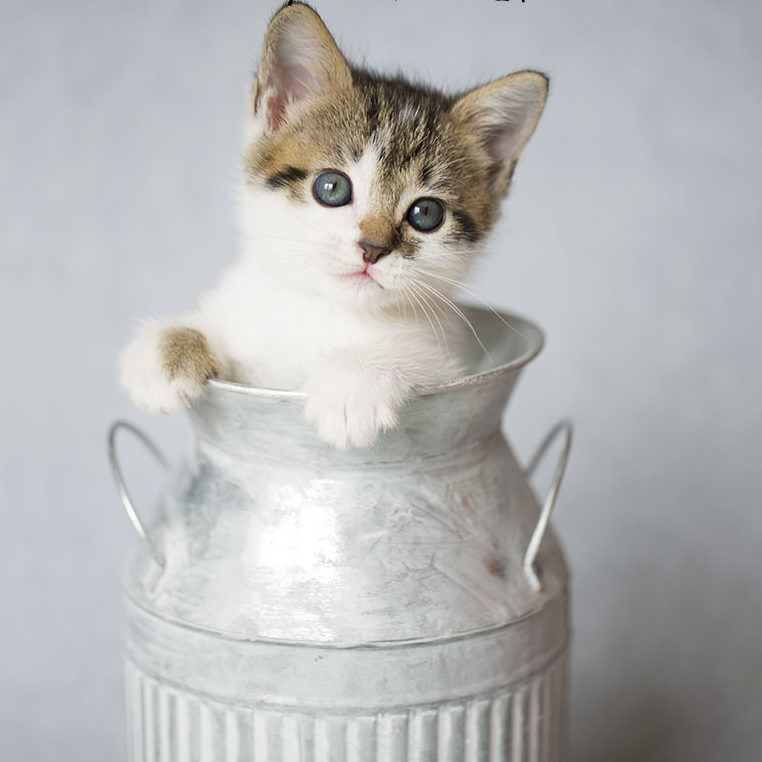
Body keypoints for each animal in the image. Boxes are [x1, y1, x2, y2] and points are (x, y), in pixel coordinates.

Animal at [119, 1, 544, 446]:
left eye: (426, 214)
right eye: (332, 187)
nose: (372, 249)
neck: (325, 309)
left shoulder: (451, 358)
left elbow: (423, 358)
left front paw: (355, 383)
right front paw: (167, 350)